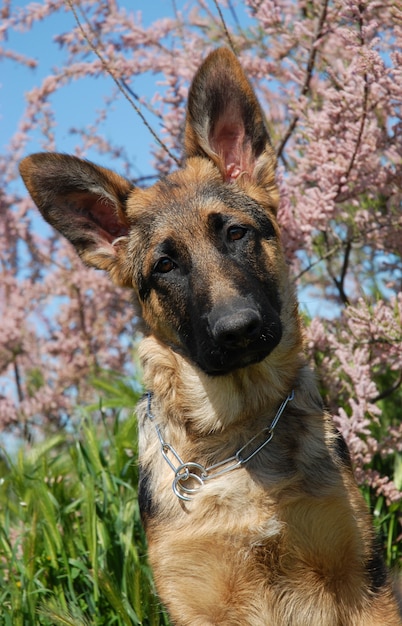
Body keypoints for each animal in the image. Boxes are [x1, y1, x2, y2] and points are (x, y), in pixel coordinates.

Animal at [19, 46, 402, 620]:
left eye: (236, 233)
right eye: (165, 266)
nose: (238, 329)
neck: (239, 434)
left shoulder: (364, 584)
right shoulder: (197, 600)